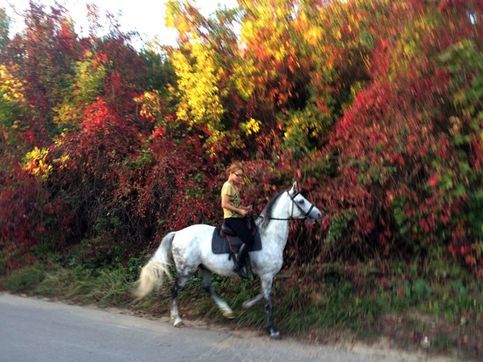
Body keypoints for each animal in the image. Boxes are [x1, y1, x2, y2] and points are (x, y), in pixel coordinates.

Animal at [133, 182, 322, 338]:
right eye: (301, 201)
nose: (319, 214)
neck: (269, 236)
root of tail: (177, 233)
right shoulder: (267, 275)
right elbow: (268, 301)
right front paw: (272, 330)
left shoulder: (267, 276)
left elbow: (264, 294)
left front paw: (246, 304)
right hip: (186, 270)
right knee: (174, 290)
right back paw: (177, 319)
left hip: (205, 267)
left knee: (206, 287)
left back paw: (227, 311)